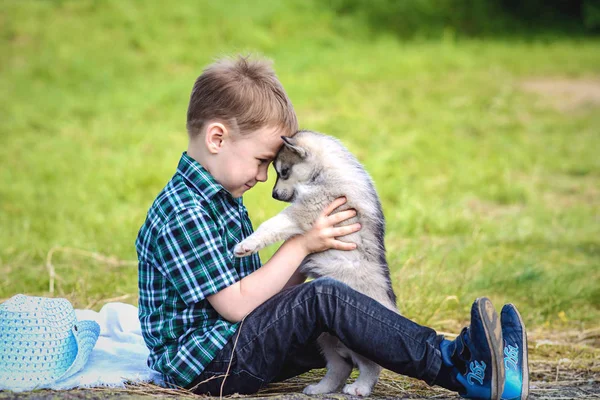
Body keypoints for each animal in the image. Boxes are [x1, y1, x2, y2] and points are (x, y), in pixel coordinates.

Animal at [234, 130, 398, 396]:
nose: (274, 195)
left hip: (356, 339)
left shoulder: (310, 208)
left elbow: (272, 224)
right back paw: (322, 388)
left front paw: (246, 245)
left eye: (284, 171)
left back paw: (360, 388)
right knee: (340, 366)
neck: (324, 172)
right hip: (325, 336)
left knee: (370, 366)